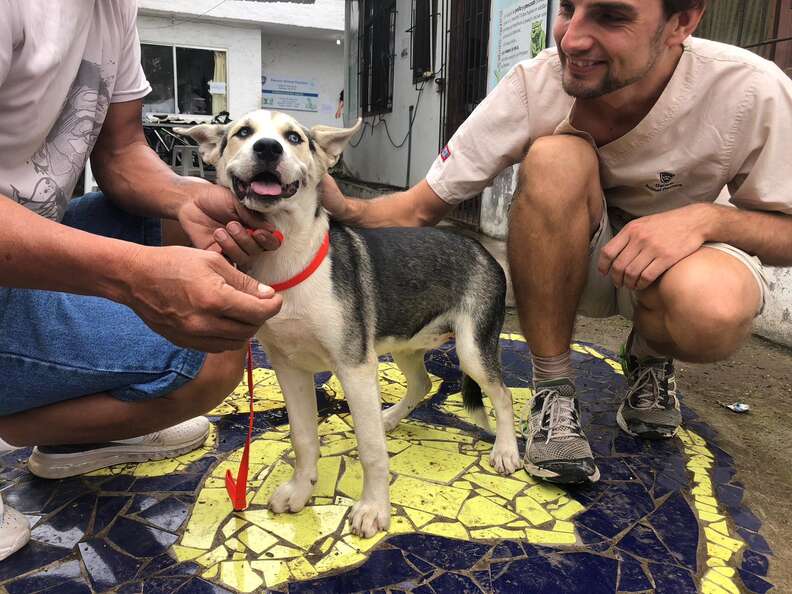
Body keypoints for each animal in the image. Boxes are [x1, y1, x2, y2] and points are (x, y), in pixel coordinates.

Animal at [177, 110, 524, 536]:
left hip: (472, 348)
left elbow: (371, 448)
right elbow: (303, 437)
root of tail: (482, 250)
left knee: (502, 395)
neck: (287, 258)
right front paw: (301, 489)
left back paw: (505, 450)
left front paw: (374, 509)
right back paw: (390, 417)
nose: (268, 148)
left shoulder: (355, 367)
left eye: (294, 138)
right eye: (243, 132)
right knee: (423, 383)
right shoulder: (289, 368)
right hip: (406, 343)